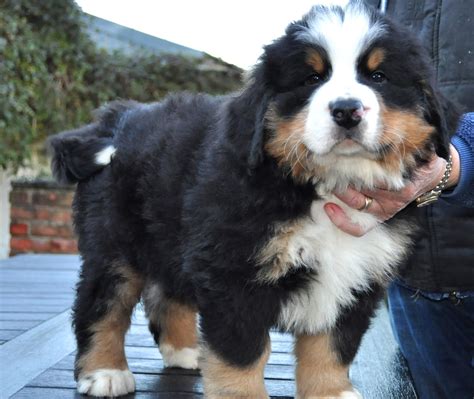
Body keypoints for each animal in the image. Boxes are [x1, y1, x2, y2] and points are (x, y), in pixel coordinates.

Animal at [47, 1, 456, 398]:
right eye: (312, 79)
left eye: (378, 77)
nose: (346, 110)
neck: (320, 182)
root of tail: (114, 121)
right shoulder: (232, 270)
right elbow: (241, 354)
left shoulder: (356, 274)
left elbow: (332, 345)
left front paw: (331, 392)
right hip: (114, 242)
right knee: (101, 306)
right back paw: (105, 372)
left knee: (167, 290)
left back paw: (185, 351)